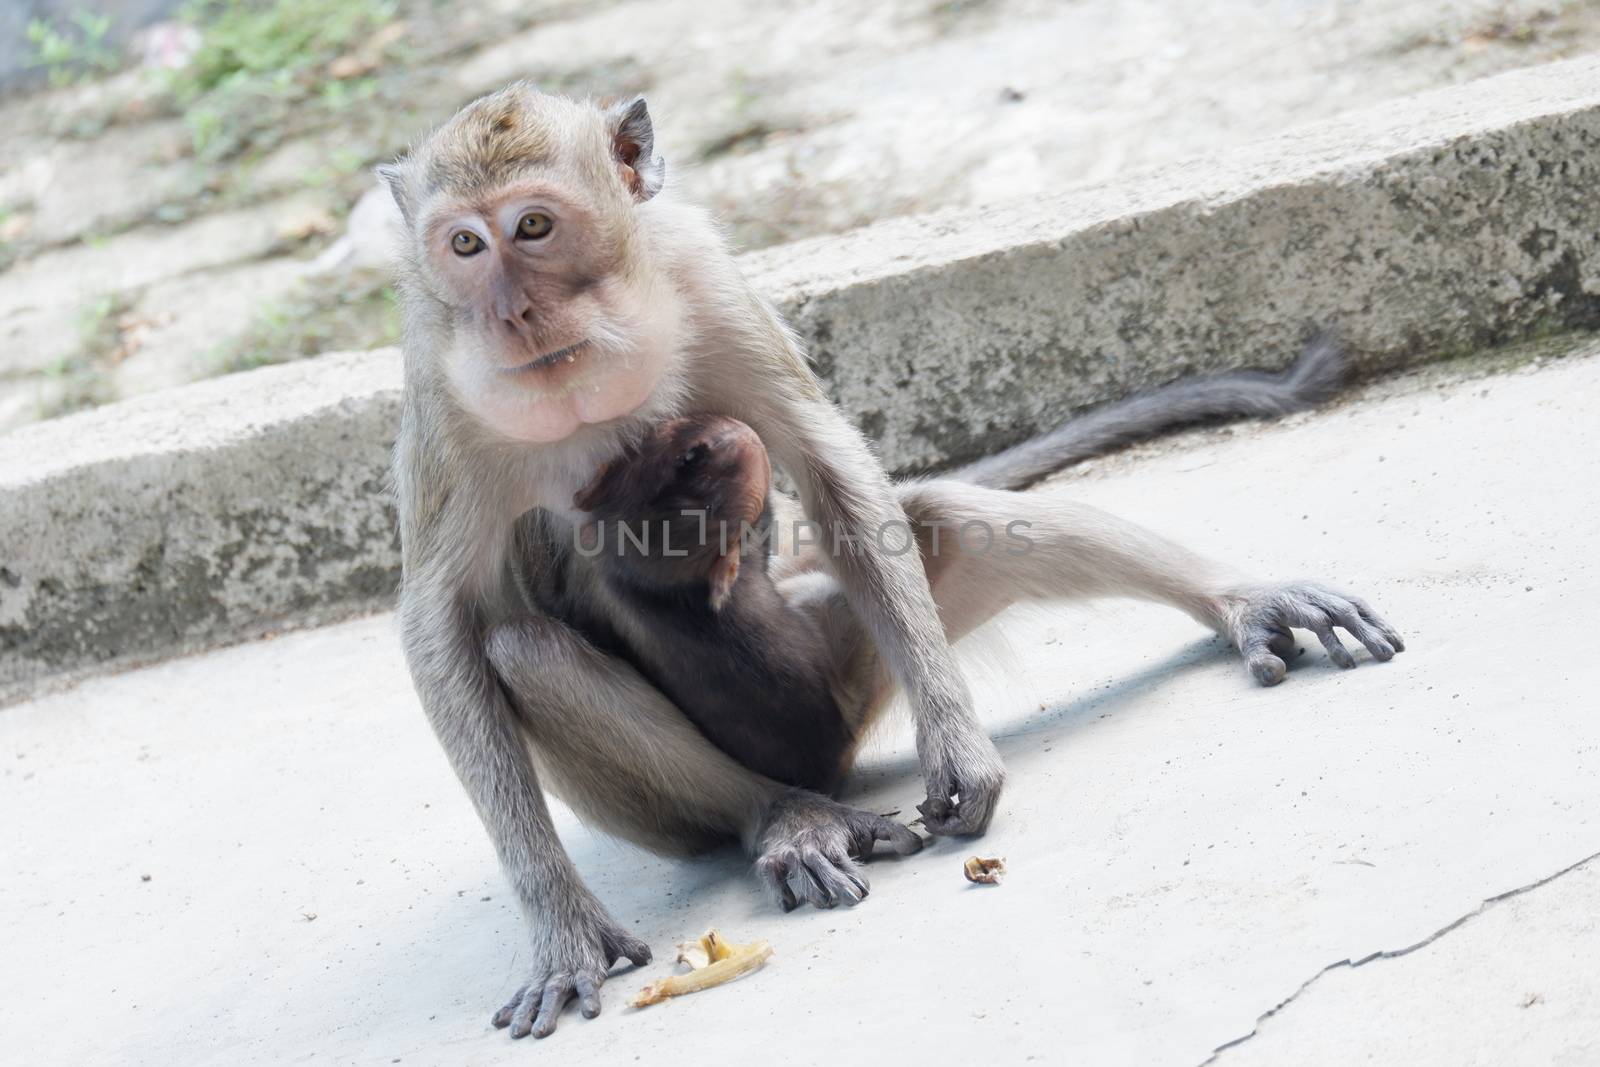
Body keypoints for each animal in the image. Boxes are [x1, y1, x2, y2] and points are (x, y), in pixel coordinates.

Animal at [380, 85, 1408, 1043]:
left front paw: (957, 746)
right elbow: (438, 619)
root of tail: (829, 761)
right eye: (464, 246)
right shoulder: (443, 378)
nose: (510, 315)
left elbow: (835, 476)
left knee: (940, 520)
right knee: (529, 652)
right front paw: (560, 923)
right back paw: (786, 815)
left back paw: (1238, 600)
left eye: (534, 226)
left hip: (849, 671)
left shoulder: (701, 274)